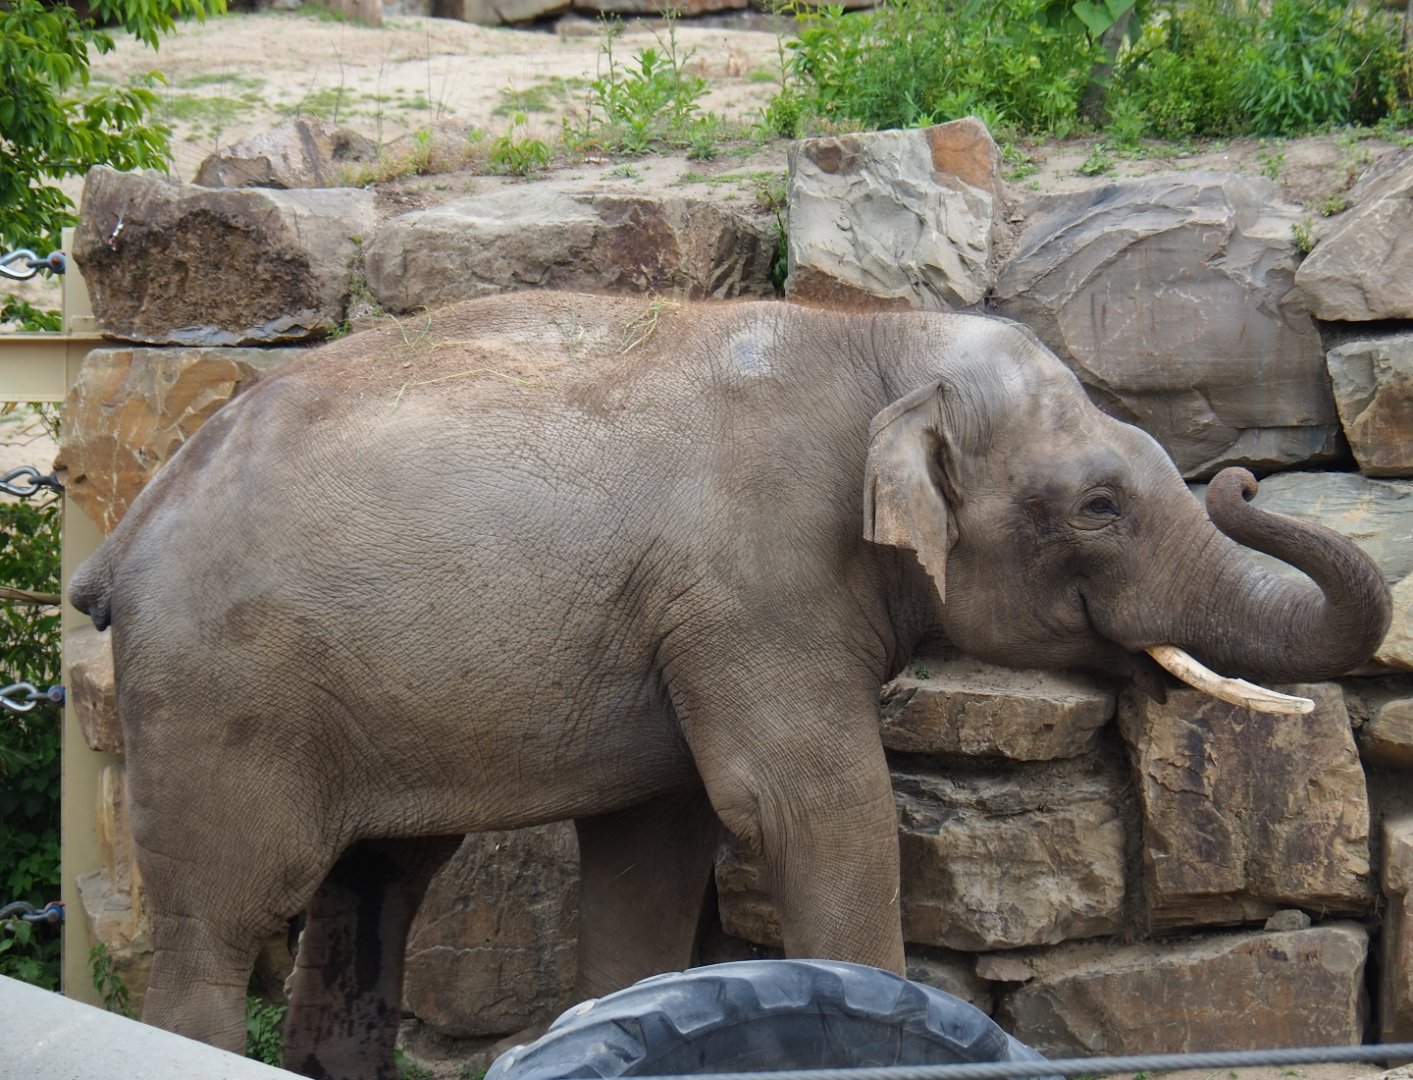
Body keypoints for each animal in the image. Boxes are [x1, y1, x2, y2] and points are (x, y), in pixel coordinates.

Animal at [69, 291, 1391, 1080]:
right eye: (1103, 505)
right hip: (217, 691)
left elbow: (658, 846)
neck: (872, 342)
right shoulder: (757, 588)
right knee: (219, 921)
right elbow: (807, 809)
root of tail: (130, 525)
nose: (1247, 484)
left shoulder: (682, 624)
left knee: (371, 891)